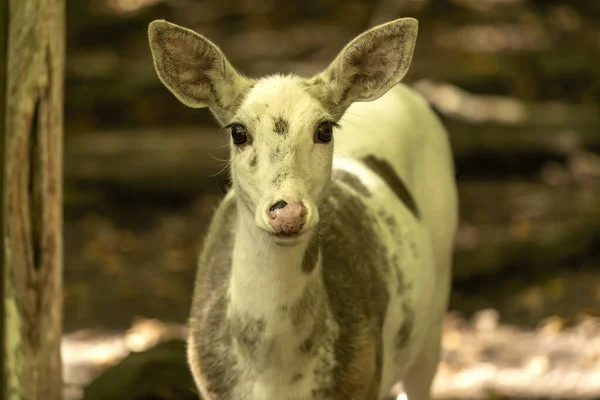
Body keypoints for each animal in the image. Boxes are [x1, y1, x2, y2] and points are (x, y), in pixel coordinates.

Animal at [148, 15, 458, 400]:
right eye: (238, 131)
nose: (288, 211)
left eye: (324, 129)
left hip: (438, 292)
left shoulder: (365, 376)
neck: (276, 375)